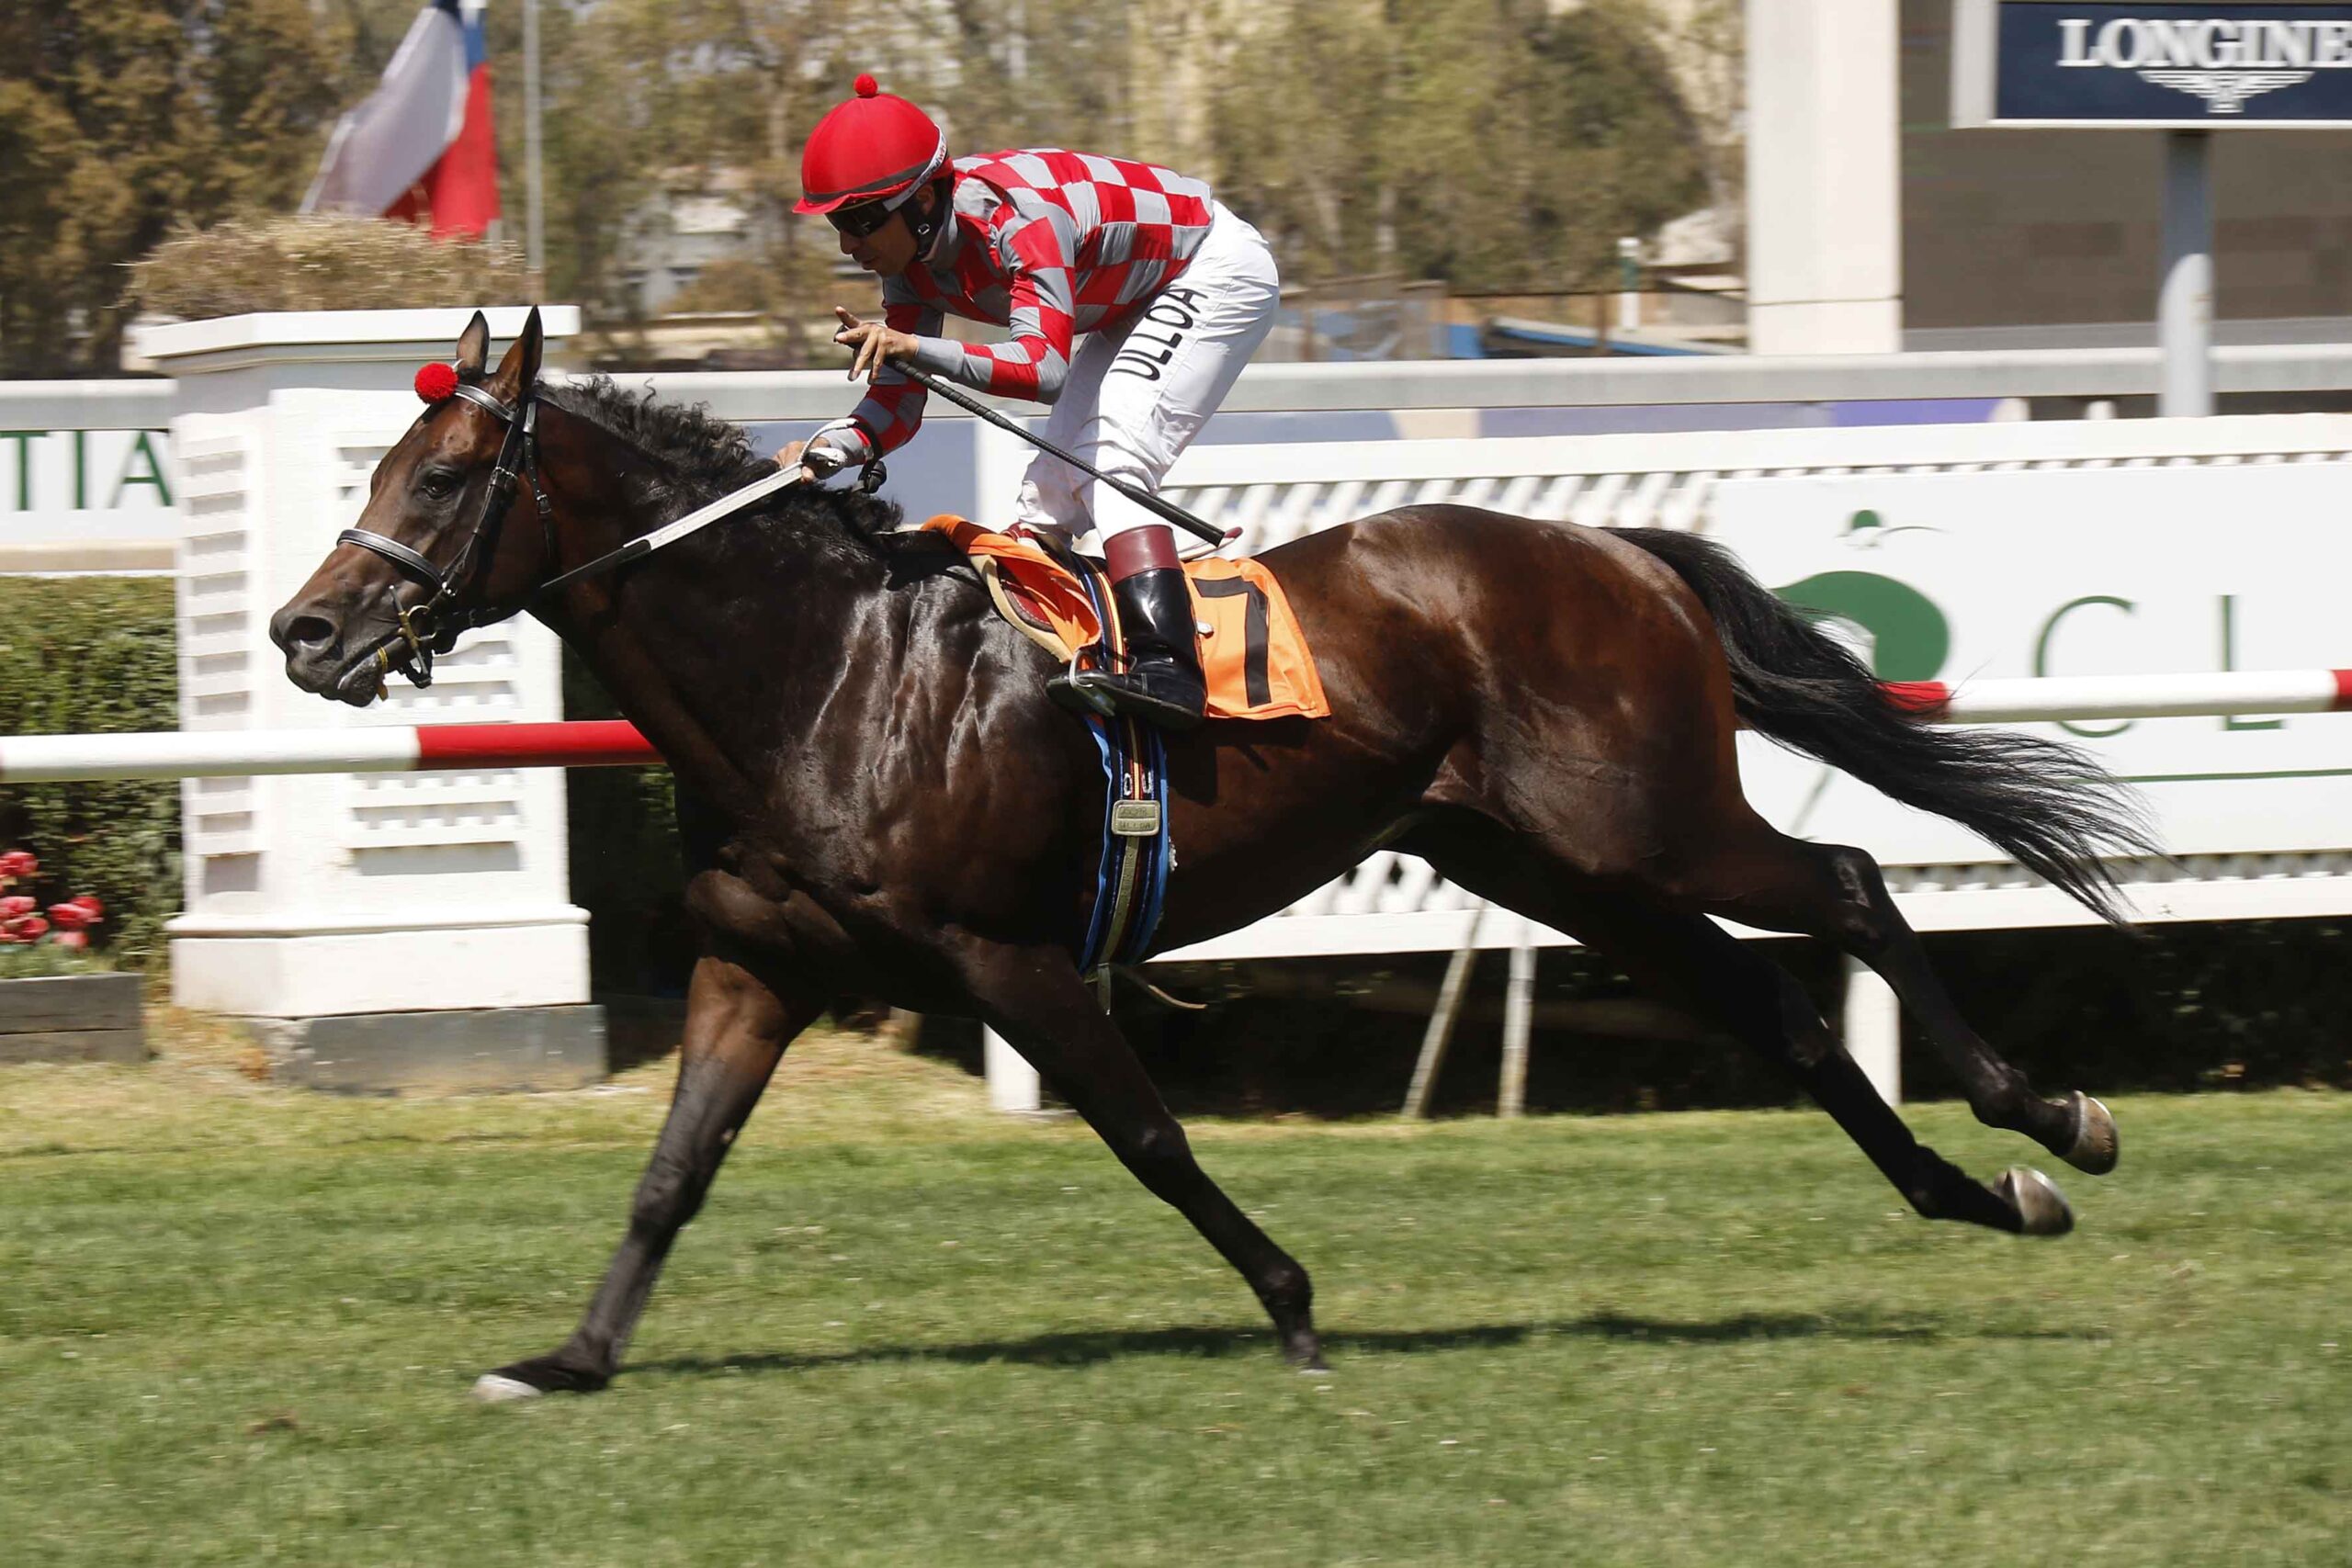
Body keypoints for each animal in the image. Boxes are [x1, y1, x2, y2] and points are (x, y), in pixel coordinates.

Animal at [270, 309, 2155, 1399]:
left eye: (444, 473)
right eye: (381, 457)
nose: (305, 630)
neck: (819, 667)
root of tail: (1620, 548)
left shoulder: (1006, 952)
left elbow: (1152, 1135)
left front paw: (1296, 1305)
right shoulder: (763, 961)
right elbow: (671, 1173)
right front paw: (571, 1356)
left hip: (1649, 821)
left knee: (1847, 889)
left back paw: (2051, 1112)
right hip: (1563, 867)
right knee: (1781, 1014)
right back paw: (1977, 1188)